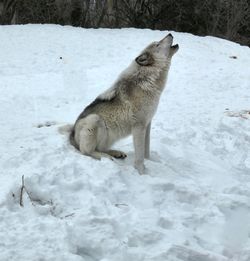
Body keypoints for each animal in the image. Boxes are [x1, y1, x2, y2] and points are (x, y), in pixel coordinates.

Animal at [69, 34, 178, 173]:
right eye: (157, 44)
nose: (170, 34)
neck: (148, 80)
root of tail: (71, 134)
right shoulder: (139, 126)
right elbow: (139, 156)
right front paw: (141, 172)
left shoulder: (147, 124)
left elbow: (146, 151)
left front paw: (151, 162)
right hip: (94, 120)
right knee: (86, 151)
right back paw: (106, 157)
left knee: (100, 148)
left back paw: (116, 153)